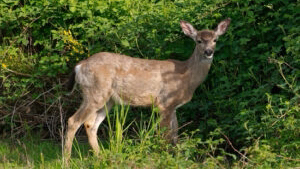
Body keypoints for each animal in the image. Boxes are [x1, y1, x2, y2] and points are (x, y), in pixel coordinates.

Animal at [64, 18, 231, 160]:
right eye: (199, 40)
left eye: (215, 40)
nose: (208, 52)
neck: (187, 77)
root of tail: (80, 66)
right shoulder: (164, 103)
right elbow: (165, 136)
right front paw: (164, 158)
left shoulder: (173, 107)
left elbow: (175, 135)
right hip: (95, 93)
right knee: (73, 121)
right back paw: (67, 160)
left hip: (108, 100)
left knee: (90, 124)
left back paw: (101, 157)